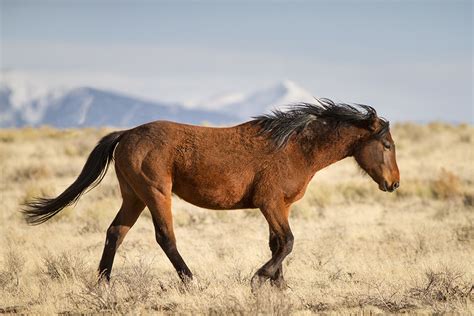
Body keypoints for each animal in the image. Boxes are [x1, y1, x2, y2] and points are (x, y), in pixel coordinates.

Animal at [23, 98, 400, 288]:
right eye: (386, 144)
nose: (394, 183)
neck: (294, 148)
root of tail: (126, 133)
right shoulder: (270, 204)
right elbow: (287, 242)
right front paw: (260, 279)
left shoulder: (281, 207)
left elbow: (278, 244)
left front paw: (278, 287)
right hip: (156, 194)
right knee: (165, 237)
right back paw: (191, 282)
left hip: (133, 197)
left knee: (115, 232)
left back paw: (103, 284)